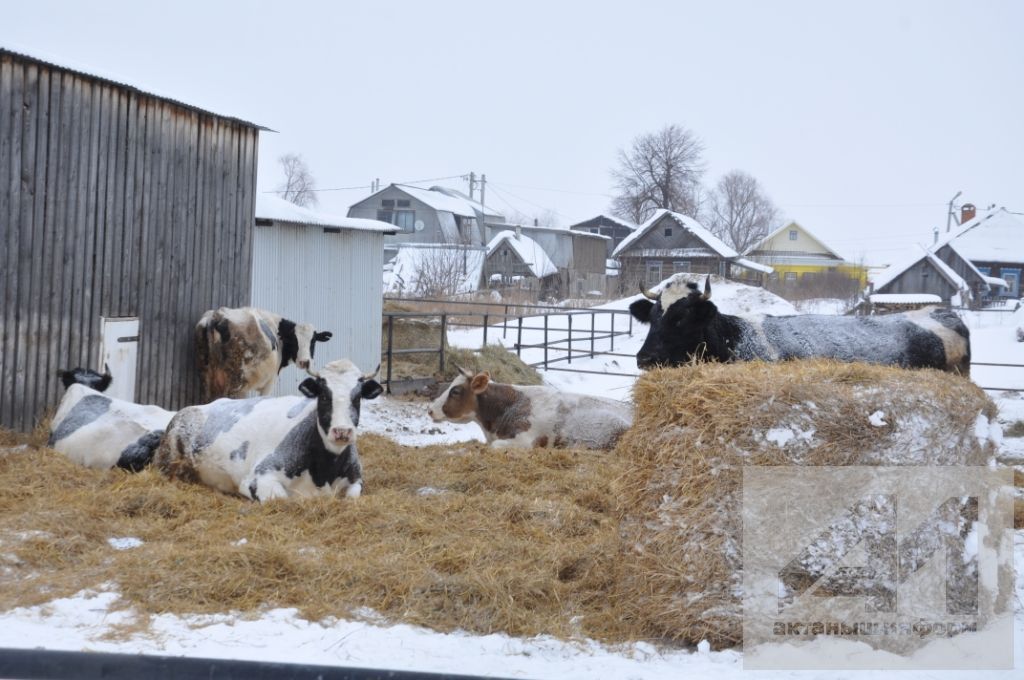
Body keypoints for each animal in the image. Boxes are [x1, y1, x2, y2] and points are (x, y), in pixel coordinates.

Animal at [155, 358, 385, 501]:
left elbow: (352, 495)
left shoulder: (356, 480)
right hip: (170, 456)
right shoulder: (259, 476)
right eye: (324, 395)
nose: (342, 431)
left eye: (357, 397)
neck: (324, 472)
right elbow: (282, 499)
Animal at [193, 307, 333, 401]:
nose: (304, 362)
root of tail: (217, 316)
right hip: (236, 385)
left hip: (206, 379)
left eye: (313, 341)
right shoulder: (269, 383)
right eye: (294, 340)